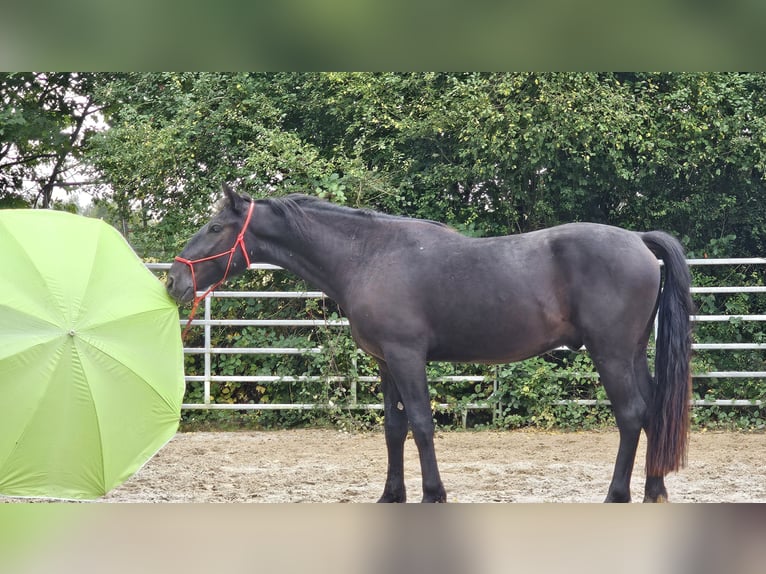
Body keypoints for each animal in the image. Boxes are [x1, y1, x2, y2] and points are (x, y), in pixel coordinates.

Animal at [168, 186, 696, 504]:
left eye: (214, 228)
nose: (174, 280)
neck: (368, 255)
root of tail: (637, 240)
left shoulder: (407, 357)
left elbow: (421, 425)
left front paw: (433, 493)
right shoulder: (385, 363)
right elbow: (393, 428)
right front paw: (391, 495)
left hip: (610, 354)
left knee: (631, 415)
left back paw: (616, 494)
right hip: (632, 353)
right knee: (652, 410)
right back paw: (654, 490)